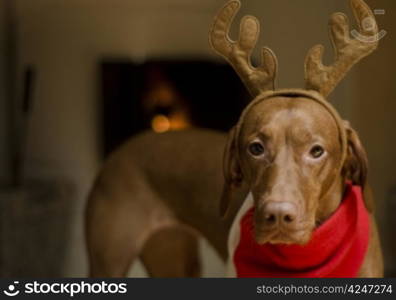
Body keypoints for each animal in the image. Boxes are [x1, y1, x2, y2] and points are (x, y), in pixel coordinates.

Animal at [84, 0, 384, 278]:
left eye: (317, 151)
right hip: (110, 261)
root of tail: (120, 151)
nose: (278, 216)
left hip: (172, 256)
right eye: (256, 148)